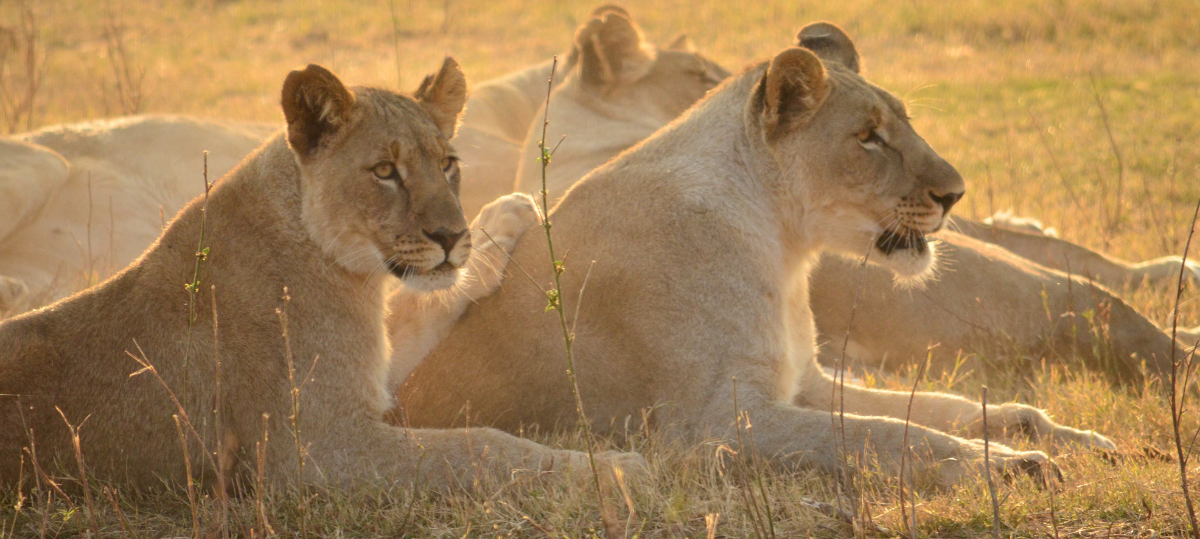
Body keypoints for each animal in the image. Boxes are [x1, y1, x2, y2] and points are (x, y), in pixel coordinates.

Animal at [0, 60, 638, 490]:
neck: (351, 272)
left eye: (448, 163)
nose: (451, 237)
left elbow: (426, 308)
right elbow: (478, 446)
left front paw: (507, 214)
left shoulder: (369, 371)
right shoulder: (316, 446)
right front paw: (613, 469)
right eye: (384, 171)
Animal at [395, 26, 1118, 489]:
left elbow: (939, 408)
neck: (785, 244)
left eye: (906, 123)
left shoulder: (807, 379)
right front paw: (1004, 465)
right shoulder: (717, 423)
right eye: (868, 137)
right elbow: (891, 434)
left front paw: (1067, 437)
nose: (956, 193)